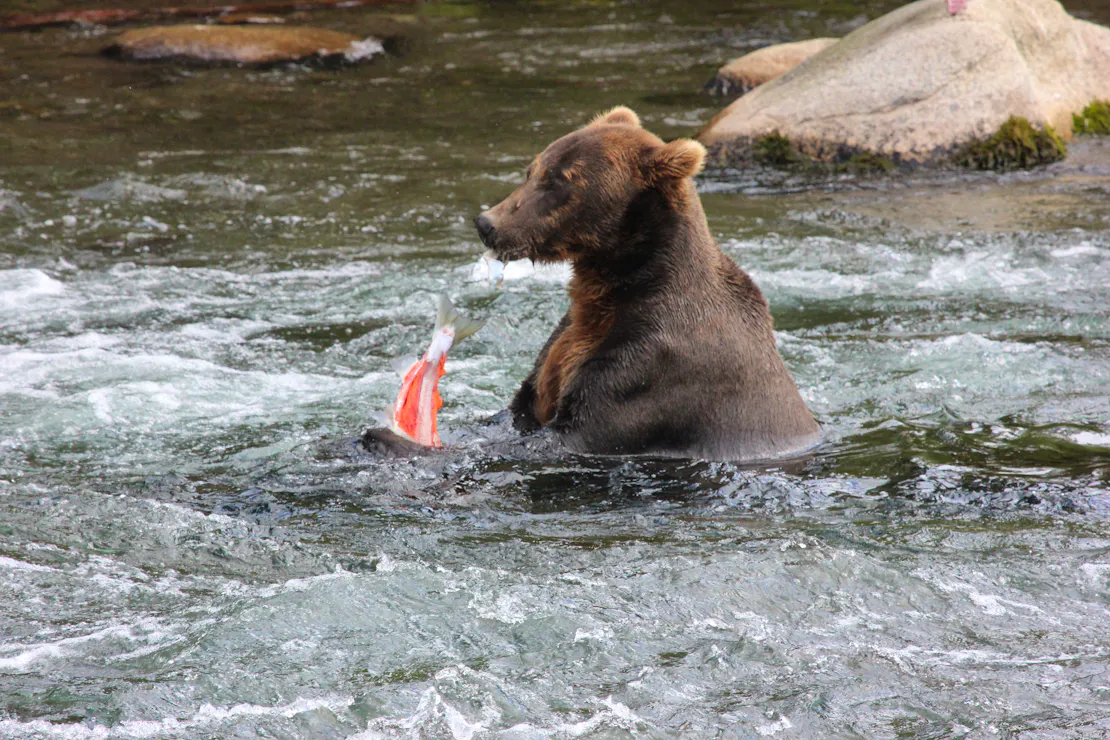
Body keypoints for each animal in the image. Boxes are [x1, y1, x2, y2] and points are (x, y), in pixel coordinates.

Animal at [473, 106, 821, 461]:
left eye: (559, 182)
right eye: (532, 171)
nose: (487, 224)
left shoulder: (651, 361)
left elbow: (577, 429)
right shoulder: (568, 336)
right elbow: (521, 403)